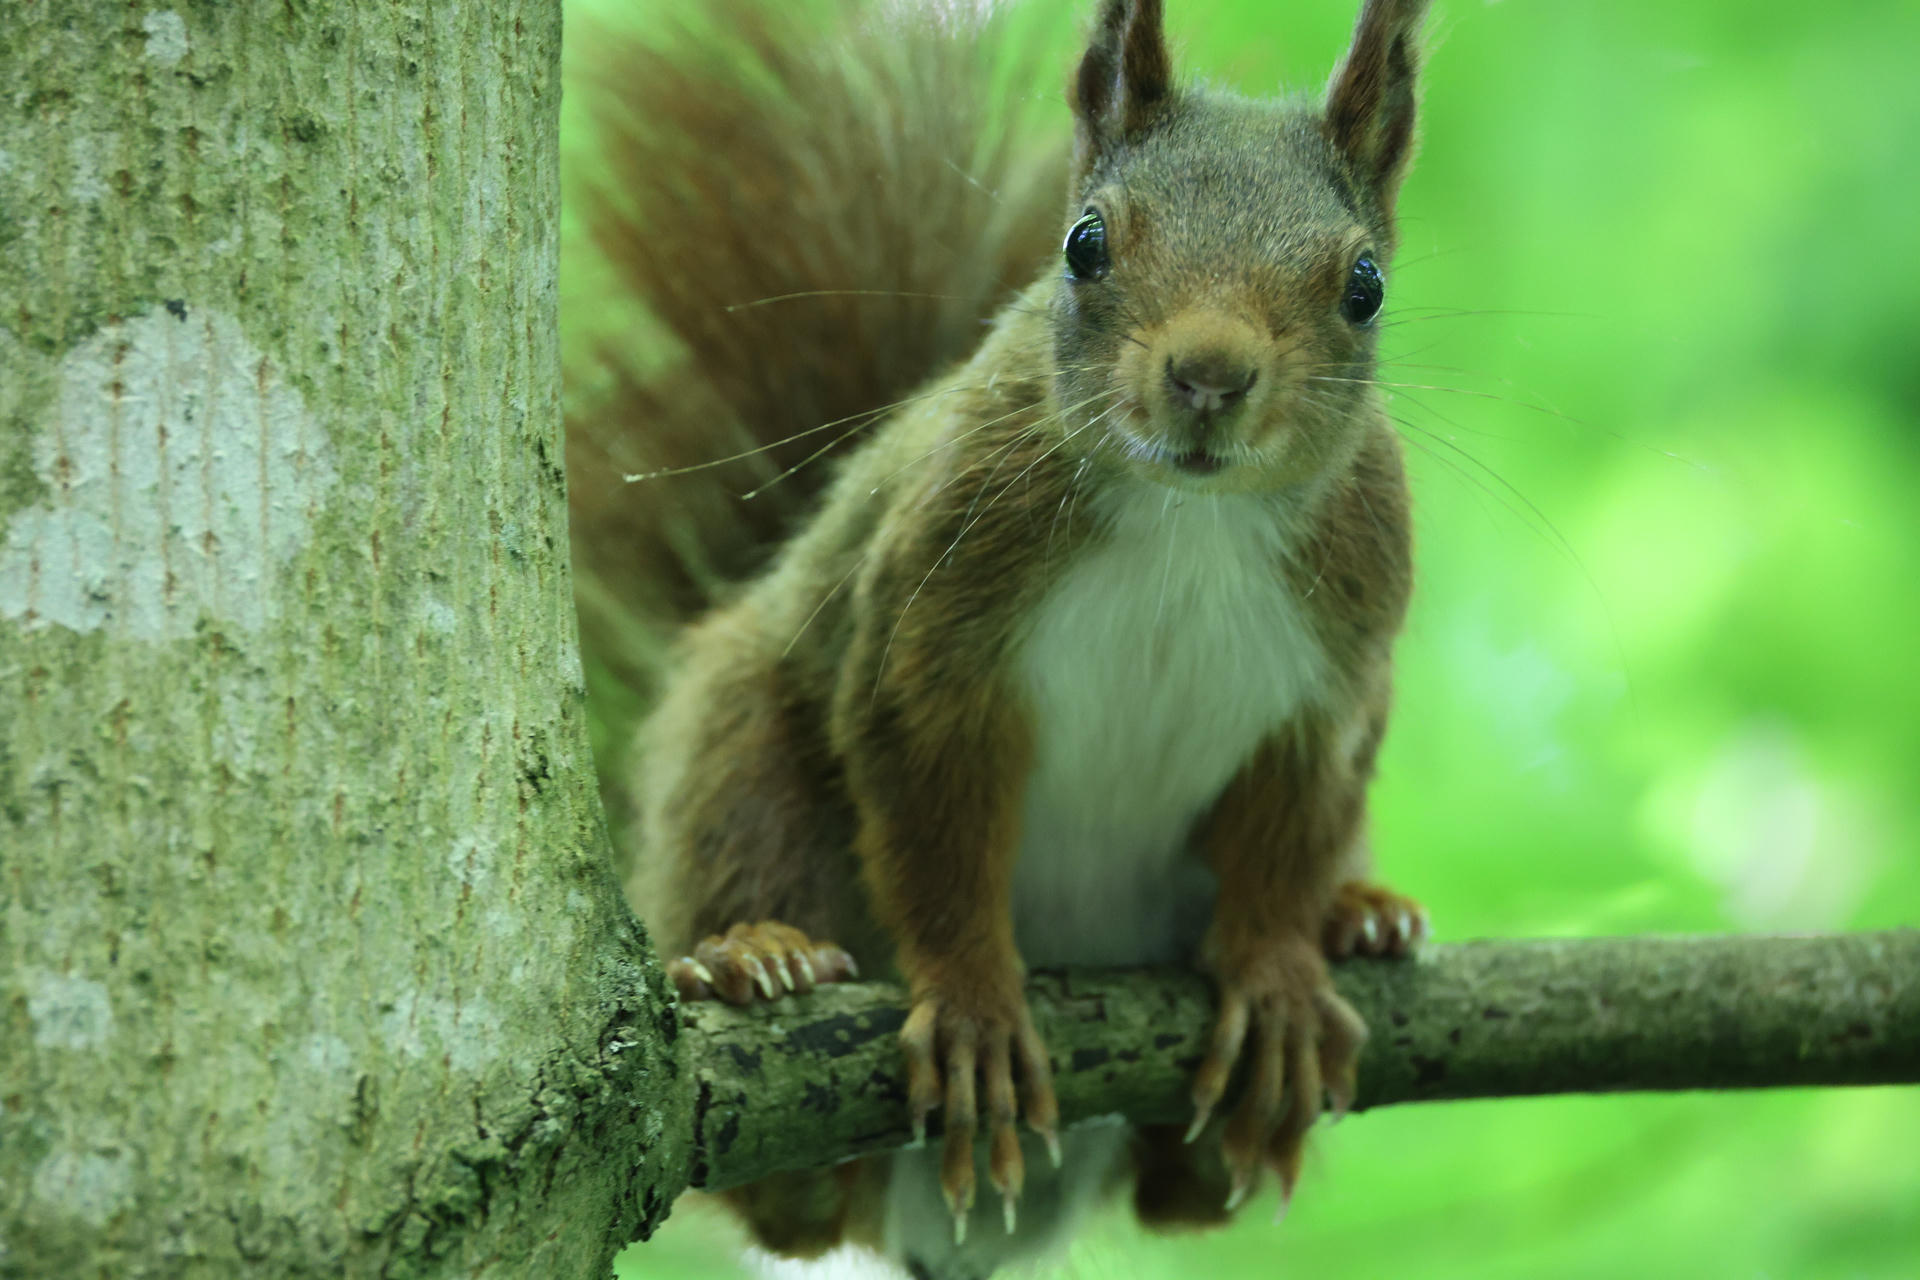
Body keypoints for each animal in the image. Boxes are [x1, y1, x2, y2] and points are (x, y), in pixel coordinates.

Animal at [567, 0, 1434, 1276]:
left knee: (1183, 1194)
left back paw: (1358, 920)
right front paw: (975, 1004)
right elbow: (935, 828)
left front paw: (1280, 970)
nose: (1209, 375)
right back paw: (756, 957)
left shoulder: (1335, 682)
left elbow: (1290, 835)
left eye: (1365, 284)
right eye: (1084, 245)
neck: (1189, 519)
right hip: (740, 739)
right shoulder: (932, 633)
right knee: (790, 1184)